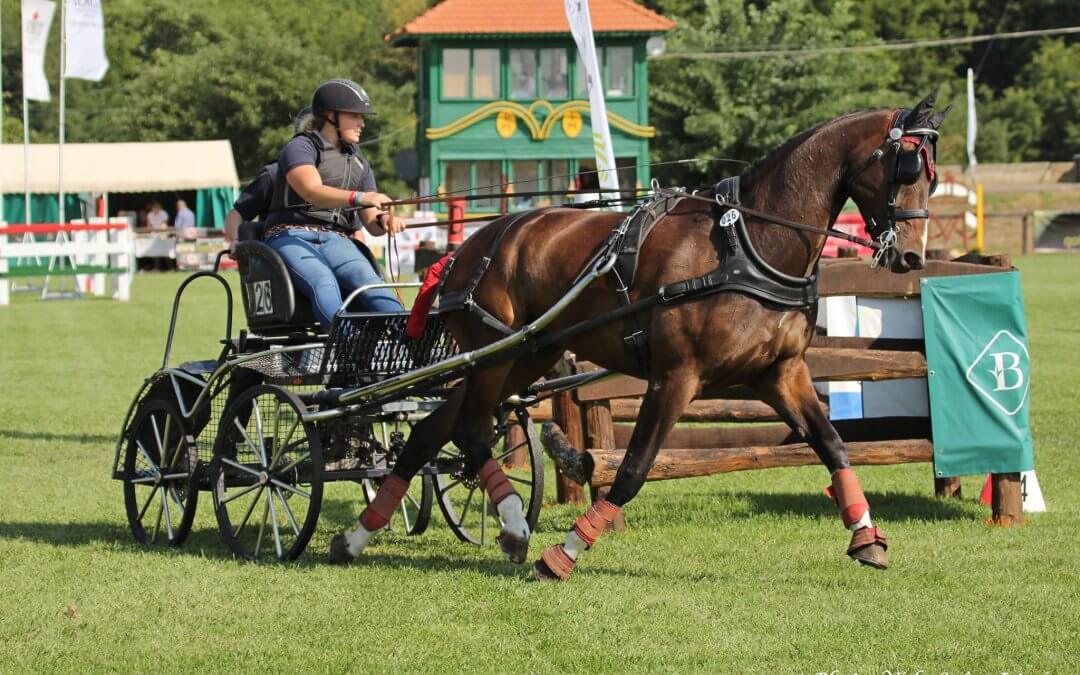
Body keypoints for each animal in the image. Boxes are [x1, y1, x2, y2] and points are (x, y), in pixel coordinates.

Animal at [332, 93, 950, 578]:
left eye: (933, 175)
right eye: (907, 167)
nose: (912, 256)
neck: (747, 245)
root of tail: (465, 250)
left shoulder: (781, 373)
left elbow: (832, 444)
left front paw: (866, 536)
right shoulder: (675, 377)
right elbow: (632, 470)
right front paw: (565, 553)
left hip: (525, 353)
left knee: (434, 430)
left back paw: (361, 535)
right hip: (493, 356)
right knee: (469, 429)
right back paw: (511, 526)